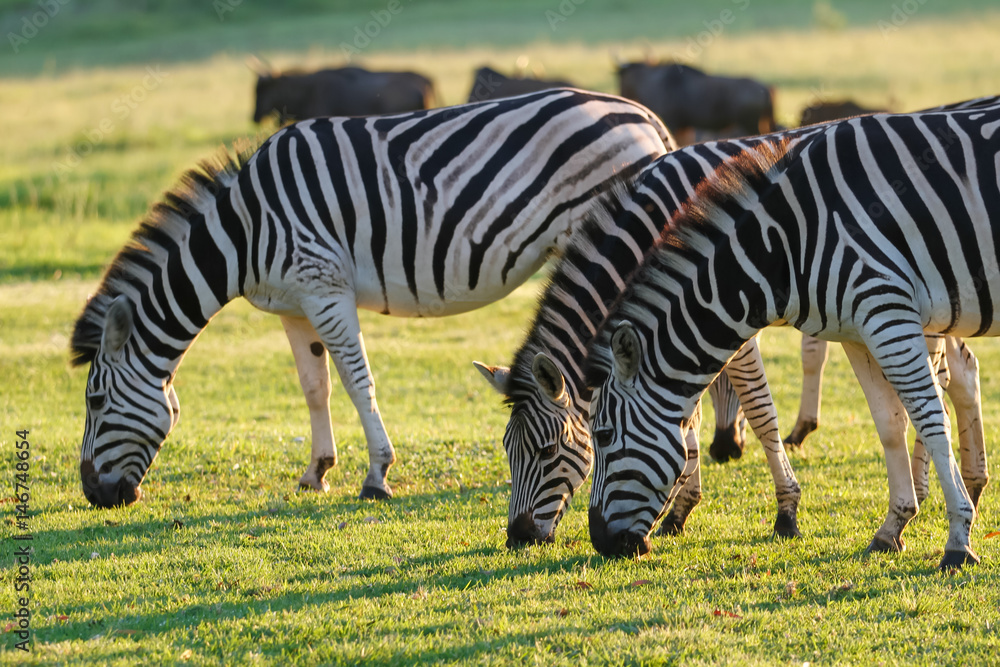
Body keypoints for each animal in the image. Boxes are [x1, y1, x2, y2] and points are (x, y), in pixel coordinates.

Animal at [70, 88, 675, 508]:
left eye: (94, 402)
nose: (94, 495)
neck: (243, 230)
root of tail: (644, 116)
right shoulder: (294, 305)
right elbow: (315, 386)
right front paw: (317, 471)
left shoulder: (325, 289)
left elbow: (358, 383)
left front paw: (377, 475)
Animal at [587, 102, 1000, 569]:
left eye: (604, 436)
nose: (600, 541)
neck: (784, 244)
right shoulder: (860, 330)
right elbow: (889, 424)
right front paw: (892, 528)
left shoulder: (887, 311)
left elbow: (931, 422)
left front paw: (959, 540)